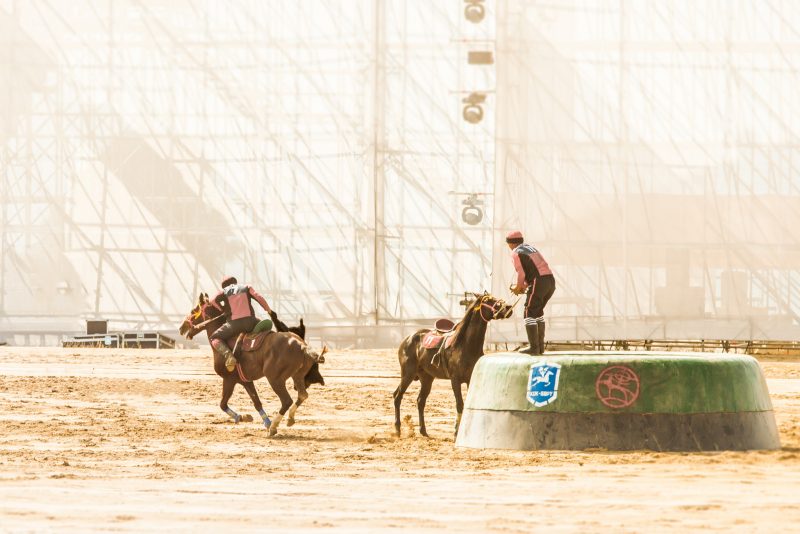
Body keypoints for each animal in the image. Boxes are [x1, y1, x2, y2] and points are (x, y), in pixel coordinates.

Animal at [178, 292, 325, 436]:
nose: (182, 327)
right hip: (297, 376)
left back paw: (274, 427)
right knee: (302, 395)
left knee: (286, 400)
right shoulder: (246, 381)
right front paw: (264, 422)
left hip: (275, 379)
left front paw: (241, 417)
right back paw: (289, 419)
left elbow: (223, 404)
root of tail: (301, 345)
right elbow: (257, 402)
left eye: (193, 311)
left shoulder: (229, 380)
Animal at [393, 292, 514, 438]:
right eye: (489, 301)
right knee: (397, 396)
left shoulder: (470, 379)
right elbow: (460, 404)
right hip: (408, 374)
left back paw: (423, 431)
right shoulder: (455, 380)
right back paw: (397, 429)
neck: (465, 345)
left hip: (427, 378)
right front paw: (456, 432)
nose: (508, 307)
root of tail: (407, 339)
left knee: (420, 401)